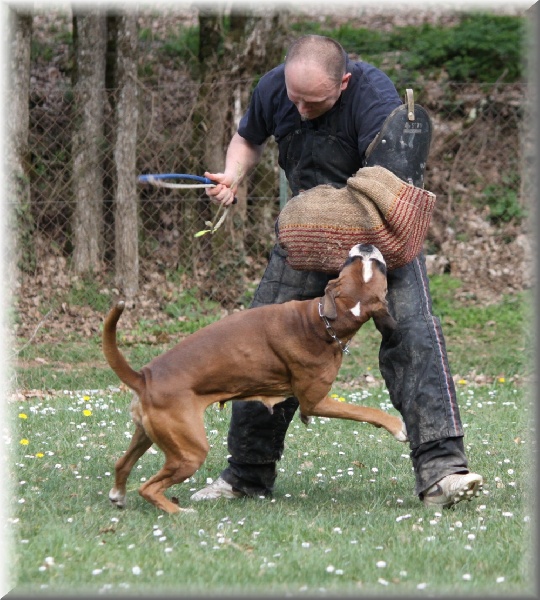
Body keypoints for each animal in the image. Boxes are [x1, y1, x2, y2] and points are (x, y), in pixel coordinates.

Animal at [102, 241, 404, 512]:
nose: (367, 246)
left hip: (148, 435)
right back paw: (180, 512)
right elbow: (365, 410)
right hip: (190, 451)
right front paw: (397, 426)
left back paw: (119, 495)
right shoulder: (316, 402)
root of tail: (144, 377)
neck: (324, 321)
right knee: (148, 488)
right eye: (356, 262)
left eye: (373, 266)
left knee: (122, 463)